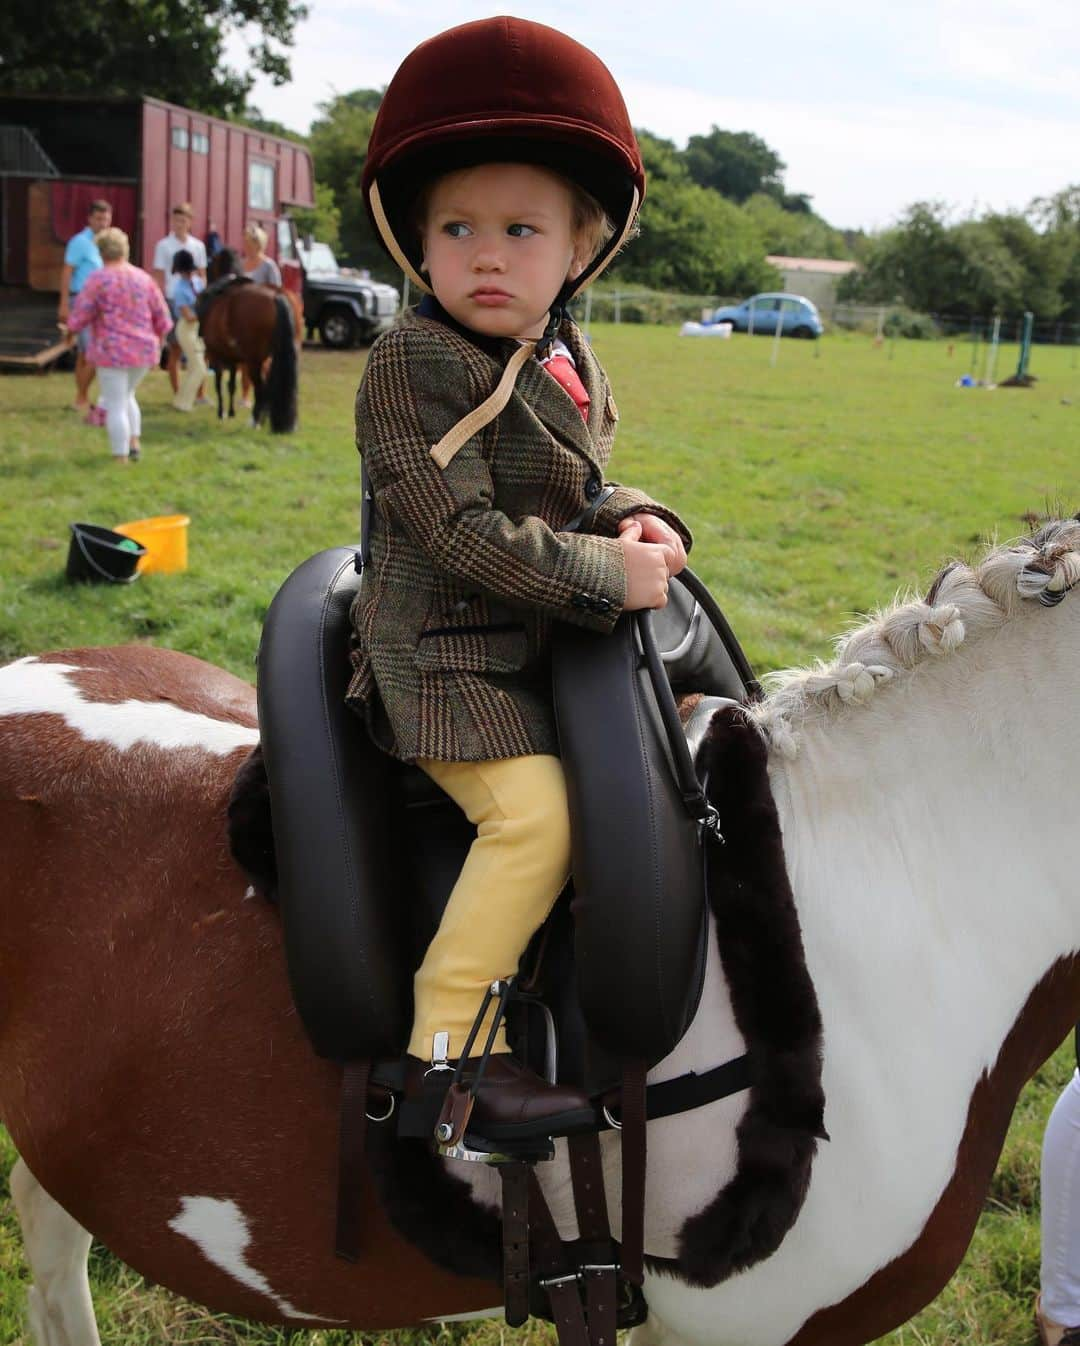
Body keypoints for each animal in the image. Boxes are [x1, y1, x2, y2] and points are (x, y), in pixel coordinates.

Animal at [196, 250, 298, 433]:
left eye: (210, 266)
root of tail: (276, 296)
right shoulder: (232, 358)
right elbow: (231, 385)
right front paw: (230, 412)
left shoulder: (215, 354)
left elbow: (219, 383)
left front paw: (221, 412)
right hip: (269, 359)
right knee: (267, 388)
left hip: (254, 361)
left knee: (261, 389)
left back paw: (256, 421)